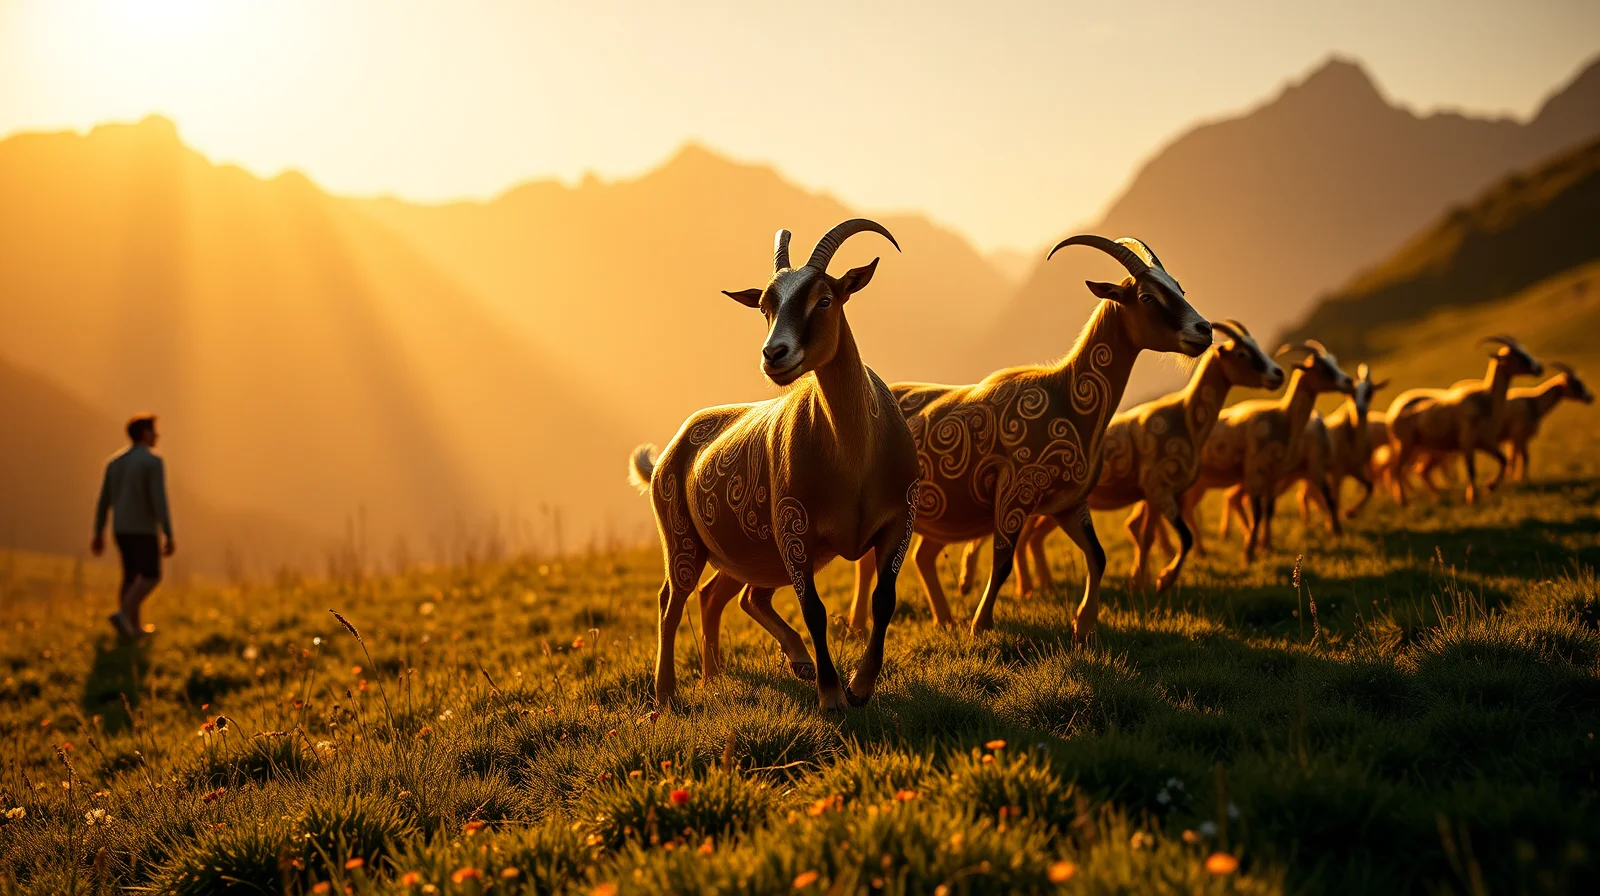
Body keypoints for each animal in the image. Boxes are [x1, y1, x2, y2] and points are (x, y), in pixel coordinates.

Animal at [629, 220, 920, 711]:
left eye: (825, 298)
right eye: (765, 306)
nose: (774, 354)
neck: (855, 460)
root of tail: (665, 456)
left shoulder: (898, 519)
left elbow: (884, 599)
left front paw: (859, 686)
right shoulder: (794, 527)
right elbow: (814, 610)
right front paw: (831, 695)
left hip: (750, 552)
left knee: (724, 595)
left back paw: (725, 674)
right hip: (683, 534)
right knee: (673, 598)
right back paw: (667, 693)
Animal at [847, 236, 1212, 640]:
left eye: (1178, 288)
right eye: (1147, 296)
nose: (1204, 330)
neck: (1067, 396)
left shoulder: (1070, 502)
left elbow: (1097, 555)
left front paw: (1084, 625)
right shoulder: (1015, 493)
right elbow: (1003, 561)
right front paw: (980, 624)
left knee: (919, 557)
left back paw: (942, 620)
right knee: (869, 563)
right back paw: (860, 625)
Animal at [1180, 342, 1356, 562]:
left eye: (1334, 362)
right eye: (1323, 367)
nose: (1348, 381)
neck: (1283, 415)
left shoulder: (1275, 475)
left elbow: (1269, 510)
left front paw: (1266, 546)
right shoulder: (1266, 471)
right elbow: (1260, 511)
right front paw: (1251, 551)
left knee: (1191, 509)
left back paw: (1202, 549)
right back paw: (1202, 550)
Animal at [1380, 335, 1543, 505]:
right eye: (1518, 356)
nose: (1539, 368)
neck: (1486, 399)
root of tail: (1392, 417)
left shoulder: (1486, 442)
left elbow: (1503, 460)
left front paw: (1488, 488)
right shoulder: (1467, 442)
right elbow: (1471, 470)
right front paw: (1473, 498)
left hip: (1428, 449)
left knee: (1419, 470)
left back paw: (1436, 496)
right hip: (1405, 446)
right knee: (1396, 470)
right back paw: (1403, 501)